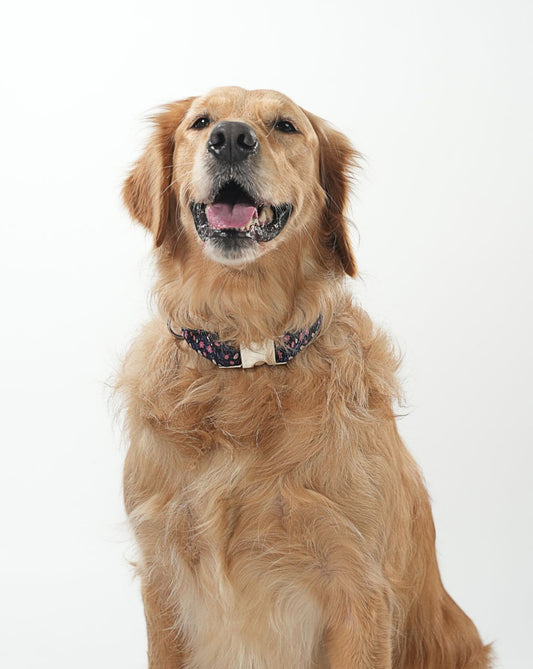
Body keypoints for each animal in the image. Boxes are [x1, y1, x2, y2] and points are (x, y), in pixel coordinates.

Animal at [117, 88, 490, 668]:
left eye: (286, 126)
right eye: (200, 122)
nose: (230, 137)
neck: (248, 351)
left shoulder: (358, 584)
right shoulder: (163, 577)